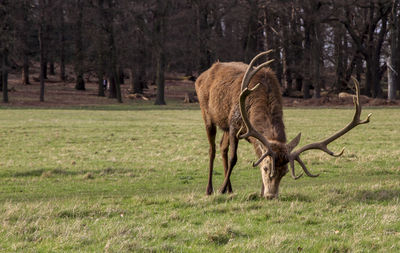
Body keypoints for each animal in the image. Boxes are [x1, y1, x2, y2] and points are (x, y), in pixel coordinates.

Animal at [195, 50, 372, 199]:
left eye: (284, 172)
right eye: (266, 168)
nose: (271, 196)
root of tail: (201, 76)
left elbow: (257, 154)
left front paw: (259, 192)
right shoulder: (234, 124)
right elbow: (234, 158)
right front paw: (221, 189)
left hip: (223, 125)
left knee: (222, 147)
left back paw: (230, 189)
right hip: (206, 114)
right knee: (212, 149)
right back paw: (210, 189)